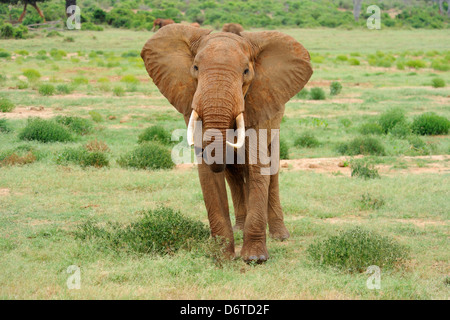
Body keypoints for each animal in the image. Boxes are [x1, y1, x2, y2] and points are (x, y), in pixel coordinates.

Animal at [141, 25, 312, 264]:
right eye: (195, 68)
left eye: (246, 72)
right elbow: (208, 173)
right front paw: (222, 257)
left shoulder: (259, 102)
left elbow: (258, 165)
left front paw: (255, 258)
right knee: (235, 174)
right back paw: (240, 228)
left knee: (271, 170)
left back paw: (280, 235)